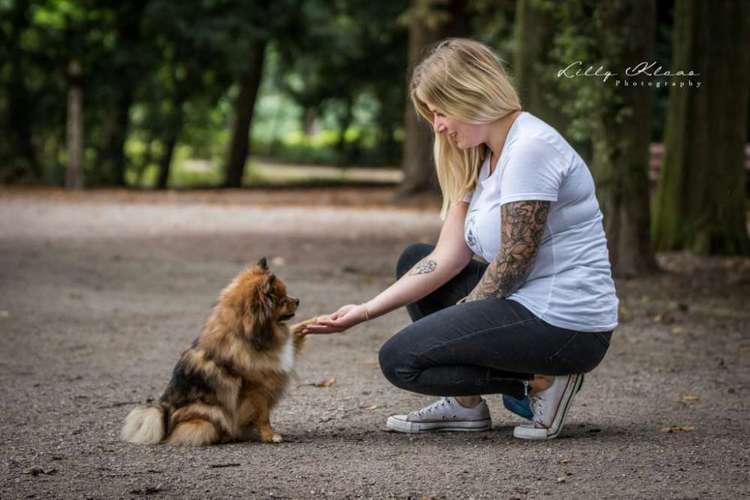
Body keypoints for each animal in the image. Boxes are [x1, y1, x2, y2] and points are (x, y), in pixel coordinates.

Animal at [119, 258, 318, 446]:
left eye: (287, 294)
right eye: (283, 300)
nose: (298, 300)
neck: (245, 335)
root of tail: (165, 414)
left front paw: (310, 323)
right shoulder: (255, 388)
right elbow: (263, 415)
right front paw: (270, 436)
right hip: (211, 410)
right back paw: (225, 436)